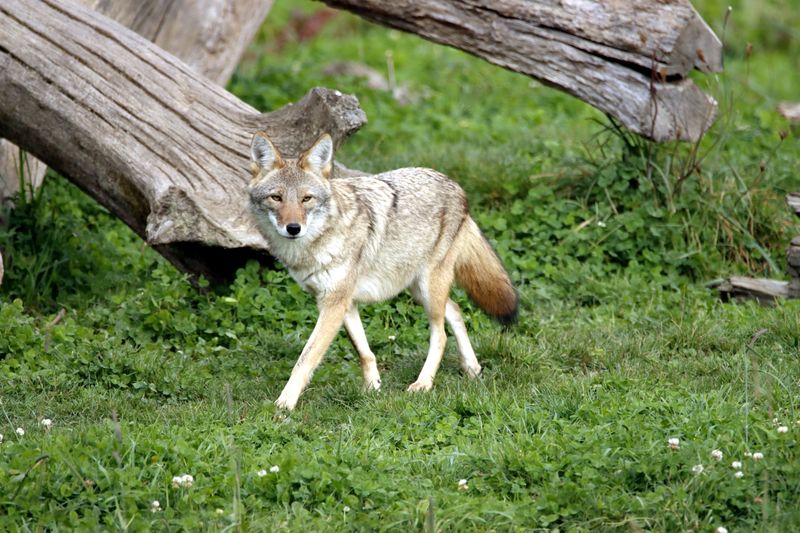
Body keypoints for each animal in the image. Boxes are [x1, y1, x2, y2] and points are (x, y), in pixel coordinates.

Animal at [247, 131, 518, 410]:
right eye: (276, 198)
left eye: (306, 198)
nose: (293, 228)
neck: (315, 245)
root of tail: (455, 185)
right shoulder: (342, 303)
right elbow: (364, 352)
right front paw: (372, 388)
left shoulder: (333, 304)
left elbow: (305, 359)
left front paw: (284, 404)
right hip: (417, 289)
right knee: (455, 310)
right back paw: (472, 369)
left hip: (428, 289)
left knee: (441, 334)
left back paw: (423, 384)